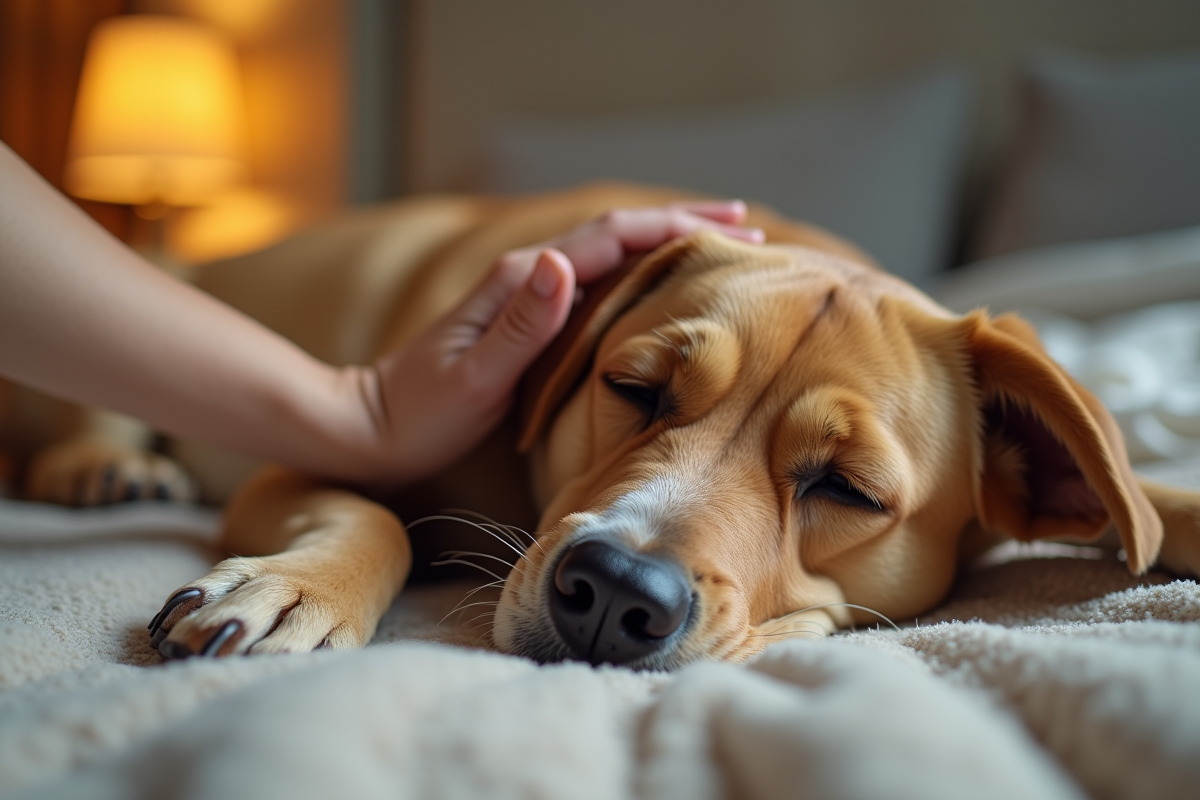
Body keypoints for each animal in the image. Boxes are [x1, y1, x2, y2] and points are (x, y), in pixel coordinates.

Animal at [18, 183, 1200, 671]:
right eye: (635, 388)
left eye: (848, 488)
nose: (616, 594)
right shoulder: (303, 468)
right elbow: (376, 521)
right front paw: (294, 591)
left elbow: (1142, 493)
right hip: (156, 286)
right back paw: (103, 466)